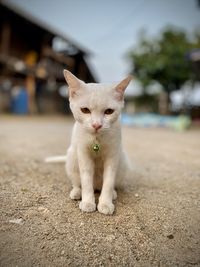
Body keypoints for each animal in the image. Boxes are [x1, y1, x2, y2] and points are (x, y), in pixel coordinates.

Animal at [46, 70, 132, 216]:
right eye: (85, 110)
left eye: (109, 111)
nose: (96, 125)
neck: (96, 140)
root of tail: (96, 186)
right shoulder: (83, 154)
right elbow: (86, 180)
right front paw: (88, 202)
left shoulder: (113, 155)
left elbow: (109, 181)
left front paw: (105, 203)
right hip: (72, 157)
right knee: (77, 182)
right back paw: (76, 192)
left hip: (123, 161)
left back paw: (113, 193)